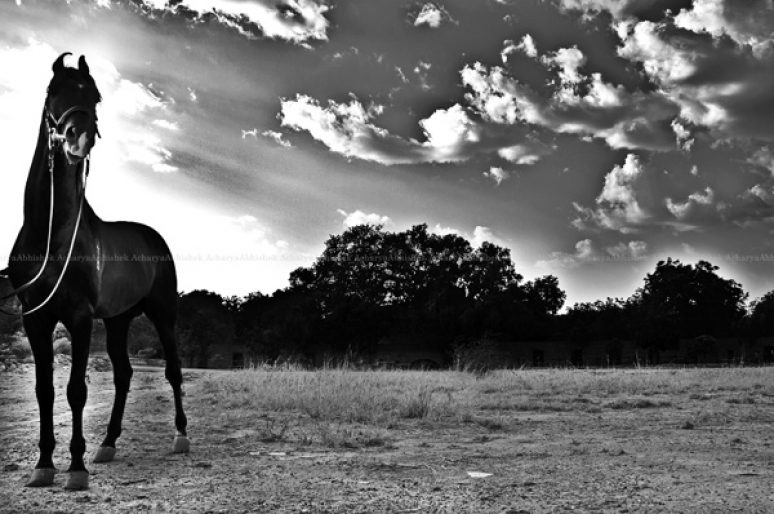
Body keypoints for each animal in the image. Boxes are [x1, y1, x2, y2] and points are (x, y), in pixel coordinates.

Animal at [4, 52, 189, 488]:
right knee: (124, 375)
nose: (78, 138)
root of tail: (154, 237)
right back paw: (108, 443)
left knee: (173, 371)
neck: (50, 235)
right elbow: (44, 390)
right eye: (53, 90)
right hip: (119, 320)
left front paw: (76, 467)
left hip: (163, 314)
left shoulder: (80, 318)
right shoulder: (35, 318)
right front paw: (44, 465)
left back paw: (180, 436)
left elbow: (76, 391)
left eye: (97, 97)